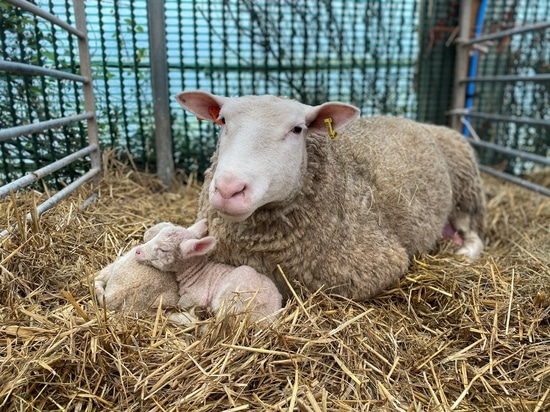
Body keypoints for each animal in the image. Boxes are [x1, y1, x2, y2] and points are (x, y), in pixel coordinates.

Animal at [176, 90, 488, 300]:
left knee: (475, 235)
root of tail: (419, 122)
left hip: (467, 191)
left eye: (297, 129)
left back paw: (462, 254)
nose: (229, 189)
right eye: (222, 121)